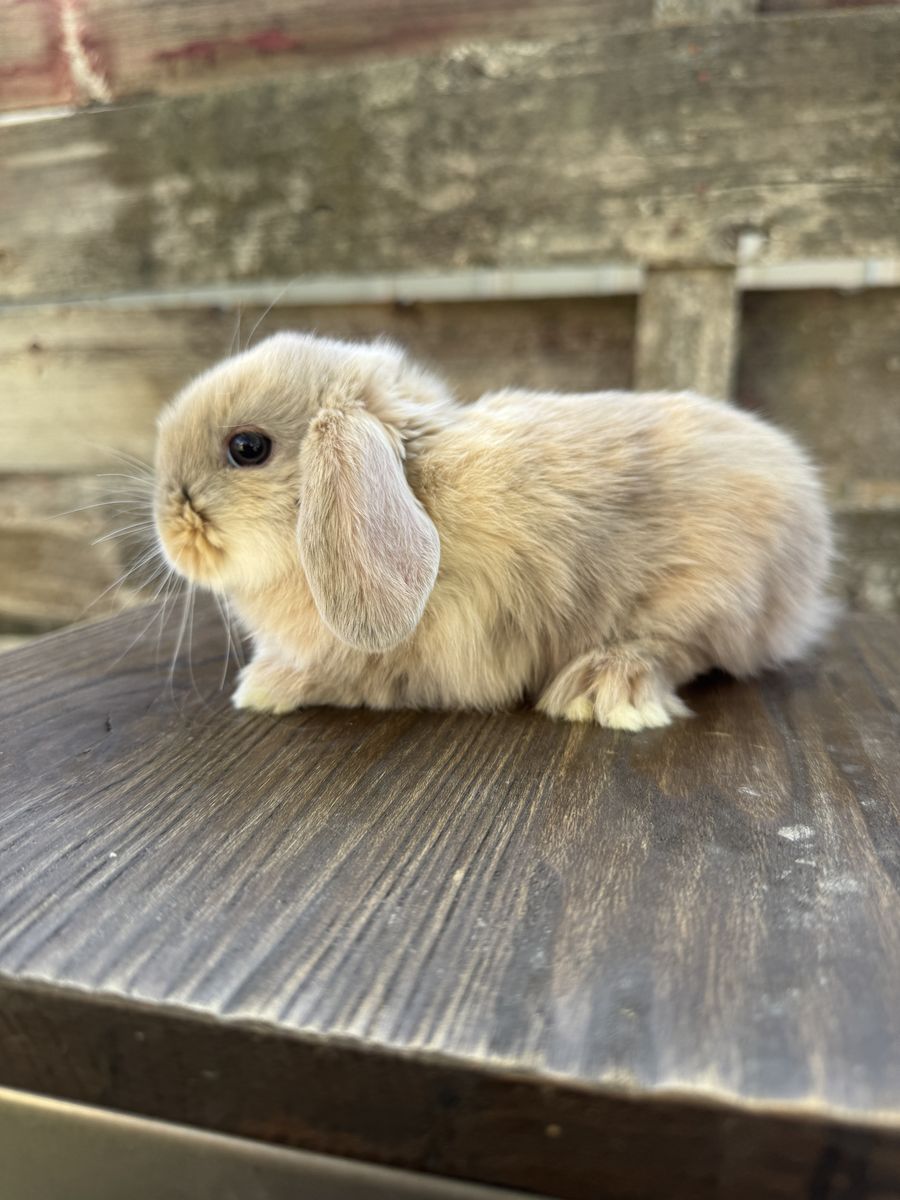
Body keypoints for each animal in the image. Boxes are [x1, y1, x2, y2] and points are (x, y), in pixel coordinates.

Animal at [153, 331, 834, 731]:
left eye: (247, 447)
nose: (167, 523)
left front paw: (264, 687)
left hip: (707, 594)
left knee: (678, 649)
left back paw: (602, 688)